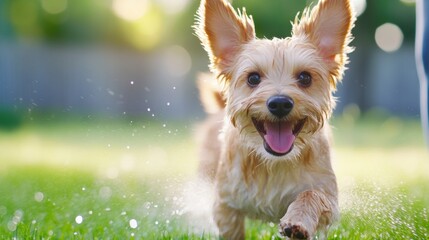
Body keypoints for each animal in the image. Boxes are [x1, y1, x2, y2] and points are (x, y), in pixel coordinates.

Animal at [194, 0, 354, 238]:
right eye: (253, 78)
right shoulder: (225, 203)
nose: (280, 103)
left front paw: (298, 222)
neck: (273, 164)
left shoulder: (328, 194)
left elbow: (310, 195)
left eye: (305, 77)